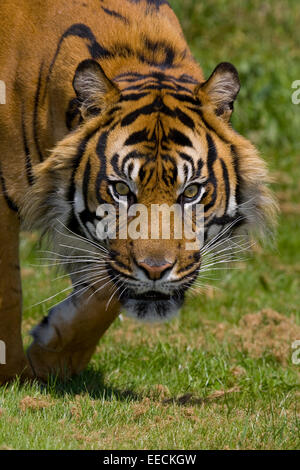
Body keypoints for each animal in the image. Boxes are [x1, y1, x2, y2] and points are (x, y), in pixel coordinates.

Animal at [0, 0, 276, 382]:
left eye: (190, 192)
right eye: (120, 189)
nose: (156, 272)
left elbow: (105, 289)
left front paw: (54, 356)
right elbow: (8, 293)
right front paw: (11, 374)